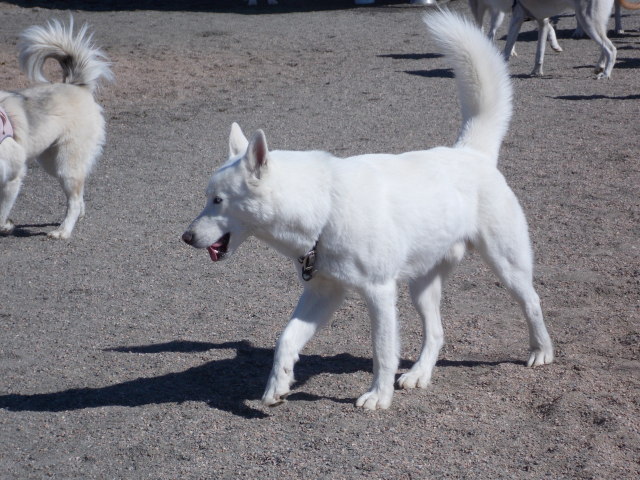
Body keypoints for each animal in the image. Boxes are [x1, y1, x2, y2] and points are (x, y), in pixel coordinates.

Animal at [0, 19, 112, 239]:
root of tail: (75, 85)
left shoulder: (12, 177)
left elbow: (0, 214)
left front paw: (6, 226)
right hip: (52, 161)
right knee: (78, 193)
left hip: (66, 164)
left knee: (74, 201)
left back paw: (63, 230)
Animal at [182, 10, 552, 408]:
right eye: (208, 196)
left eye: (217, 200)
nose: (185, 237)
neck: (324, 207)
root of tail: (470, 152)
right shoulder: (323, 293)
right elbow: (286, 338)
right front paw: (277, 386)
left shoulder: (379, 293)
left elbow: (382, 350)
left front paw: (378, 396)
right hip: (421, 286)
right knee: (436, 333)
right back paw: (419, 374)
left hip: (506, 264)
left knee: (532, 301)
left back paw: (541, 351)